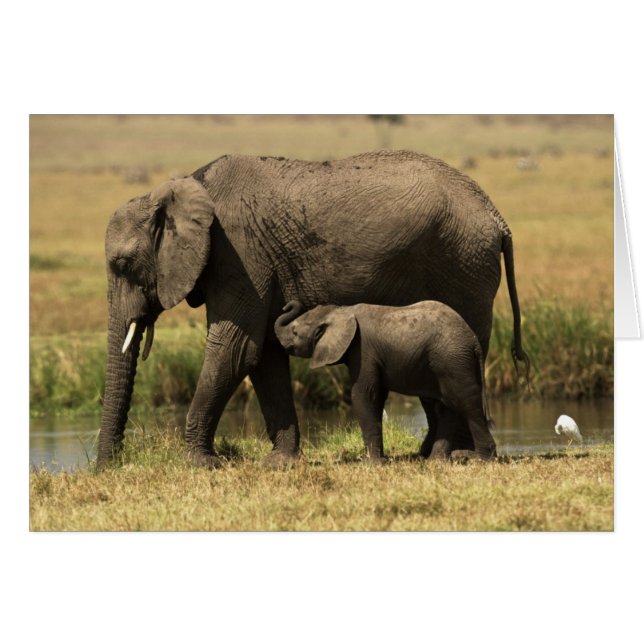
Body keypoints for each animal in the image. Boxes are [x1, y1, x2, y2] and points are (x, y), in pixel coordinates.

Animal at [274, 300, 496, 461]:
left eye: (295, 332)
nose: (287, 305)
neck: (341, 310)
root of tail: (474, 340)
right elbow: (377, 396)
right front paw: (380, 460)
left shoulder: (362, 350)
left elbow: (363, 395)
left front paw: (373, 463)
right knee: (446, 407)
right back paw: (437, 461)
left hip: (453, 361)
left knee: (467, 404)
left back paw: (481, 459)